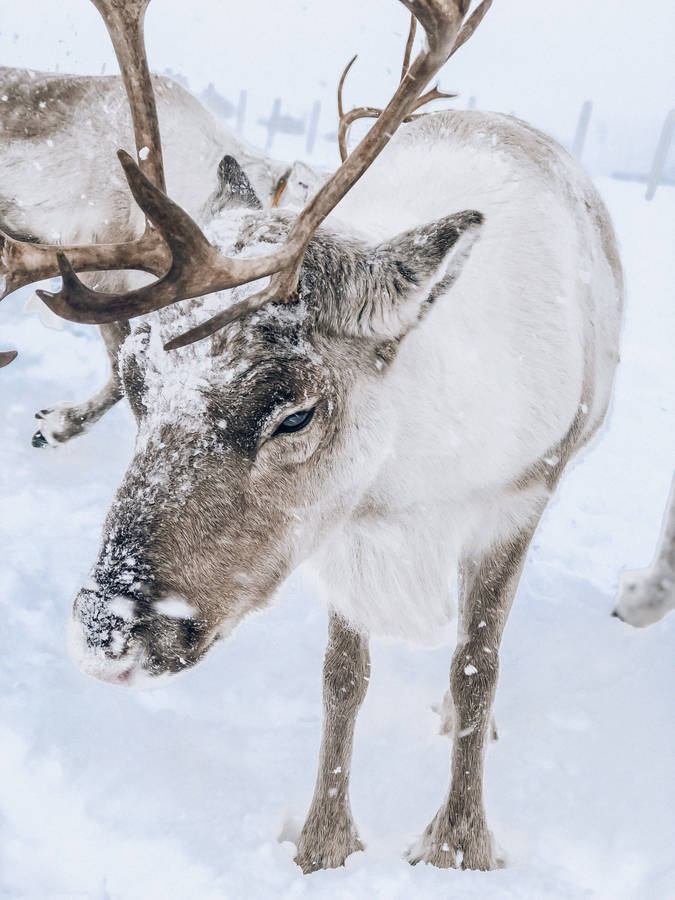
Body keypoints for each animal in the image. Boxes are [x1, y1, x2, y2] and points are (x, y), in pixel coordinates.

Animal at [1, 0, 624, 875]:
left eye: (294, 412)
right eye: (138, 382)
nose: (104, 631)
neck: (410, 488)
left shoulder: (519, 496)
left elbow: (477, 665)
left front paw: (459, 845)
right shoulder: (337, 525)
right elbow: (342, 677)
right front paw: (322, 843)